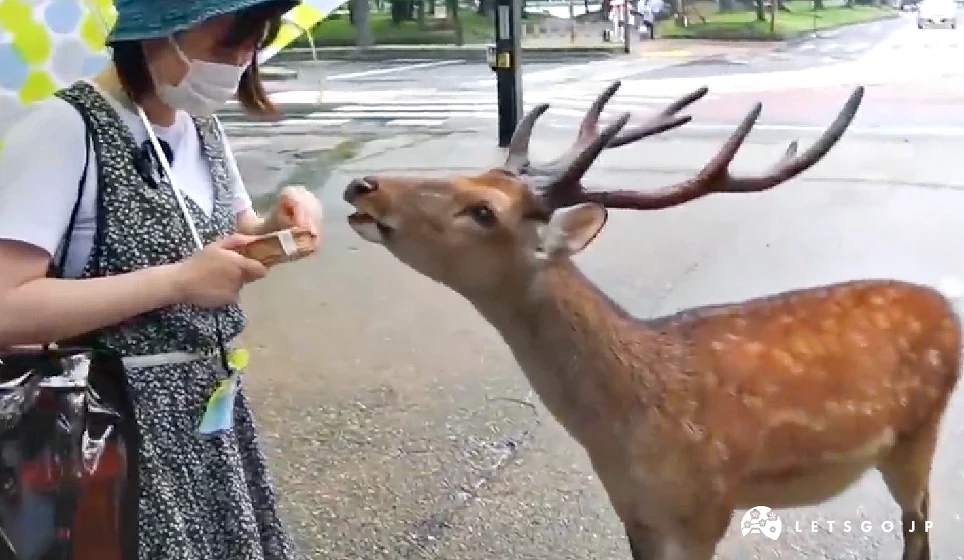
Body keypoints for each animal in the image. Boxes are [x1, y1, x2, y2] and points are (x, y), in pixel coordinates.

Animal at [342, 81, 962, 560]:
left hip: (917, 433)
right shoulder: (633, 511)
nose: (364, 185)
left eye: (483, 211)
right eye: (473, 176)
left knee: (920, 525)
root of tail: (946, 308)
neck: (625, 431)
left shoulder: (707, 507)